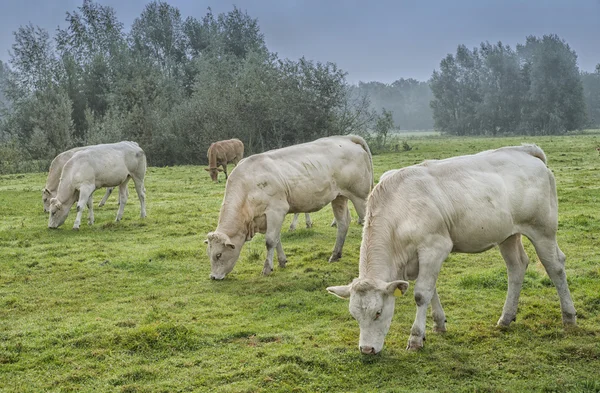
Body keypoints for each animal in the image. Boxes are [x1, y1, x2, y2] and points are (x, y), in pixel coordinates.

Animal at [206, 135, 376, 278]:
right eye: (209, 254)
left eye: (219, 255)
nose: (213, 277)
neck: (248, 185)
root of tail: (346, 138)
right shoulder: (265, 219)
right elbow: (276, 239)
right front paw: (281, 261)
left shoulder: (276, 211)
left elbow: (270, 241)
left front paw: (266, 268)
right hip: (339, 197)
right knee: (343, 223)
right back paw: (335, 255)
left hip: (361, 197)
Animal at [328, 144, 576, 352]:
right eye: (354, 315)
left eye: (378, 312)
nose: (366, 350)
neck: (399, 209)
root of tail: (525, 150)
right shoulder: (419, 258)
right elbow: (431, 289)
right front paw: (438, 324)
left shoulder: (435, 247)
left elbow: (421, 294)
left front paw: (416, 338)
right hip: (508, 234)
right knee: (517, 267)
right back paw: (506, 318)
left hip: (542, 230)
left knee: (555, 266)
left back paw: (569, 317)